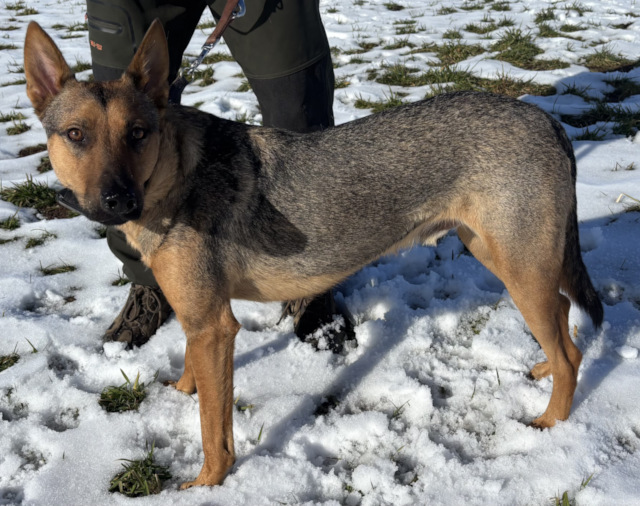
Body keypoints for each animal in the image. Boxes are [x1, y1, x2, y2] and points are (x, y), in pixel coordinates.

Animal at [24, 20, 603, 488]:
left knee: (570, 351)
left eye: (138, 134)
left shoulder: (215, 326)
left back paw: (551, 423)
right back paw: (544, 371)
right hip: (504, 257)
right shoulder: (198, 317)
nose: (117, 200)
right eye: (76, 135)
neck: (173, 175)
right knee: (563, 322)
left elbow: (214, 430)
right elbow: (193, 376)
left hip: (519, 267)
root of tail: (548, 121)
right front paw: (181, 393)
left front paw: (208, 485)